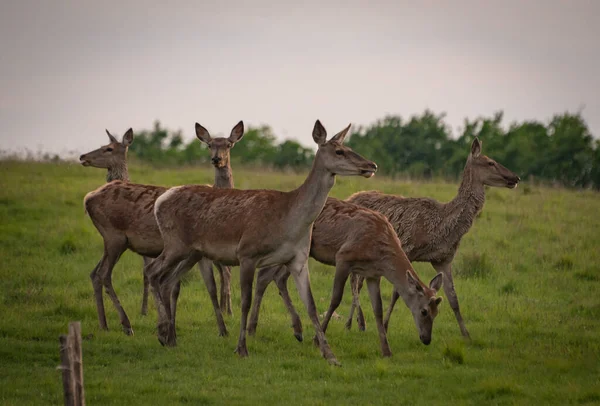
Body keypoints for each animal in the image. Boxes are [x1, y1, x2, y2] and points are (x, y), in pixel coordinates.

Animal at [246, 198, 442, 356]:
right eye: (424, 311)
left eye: (437, 313)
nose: (426, 339)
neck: (381, 251)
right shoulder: (343, 257)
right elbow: (335, 299)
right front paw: (316, 340)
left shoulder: (373, 274)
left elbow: (377, 309)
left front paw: (386, 350)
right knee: (268, 275)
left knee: (271, 277)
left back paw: (258, 328)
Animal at [346, 138, 520, 338]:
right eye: (490, 162)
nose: (515, 178)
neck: (441, 228)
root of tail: (350, 198)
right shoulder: (408, 249)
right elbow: (397, 293)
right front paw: (386, 325)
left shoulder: (443, 260)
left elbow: (453, 298)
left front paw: (466, 334)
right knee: (354, 281)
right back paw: (357, 322)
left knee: (357, 280)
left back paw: (354, 323)